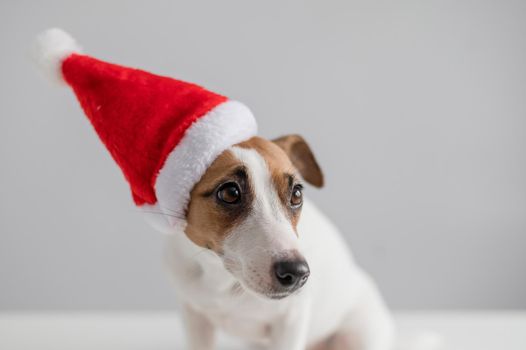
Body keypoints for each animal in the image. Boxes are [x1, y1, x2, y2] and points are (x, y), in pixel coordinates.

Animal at [165, 135, 396, 350]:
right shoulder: (194, 316)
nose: (297, 273)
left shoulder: (290, 321)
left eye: (296, 194)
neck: (222, 279)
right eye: (230, 193)